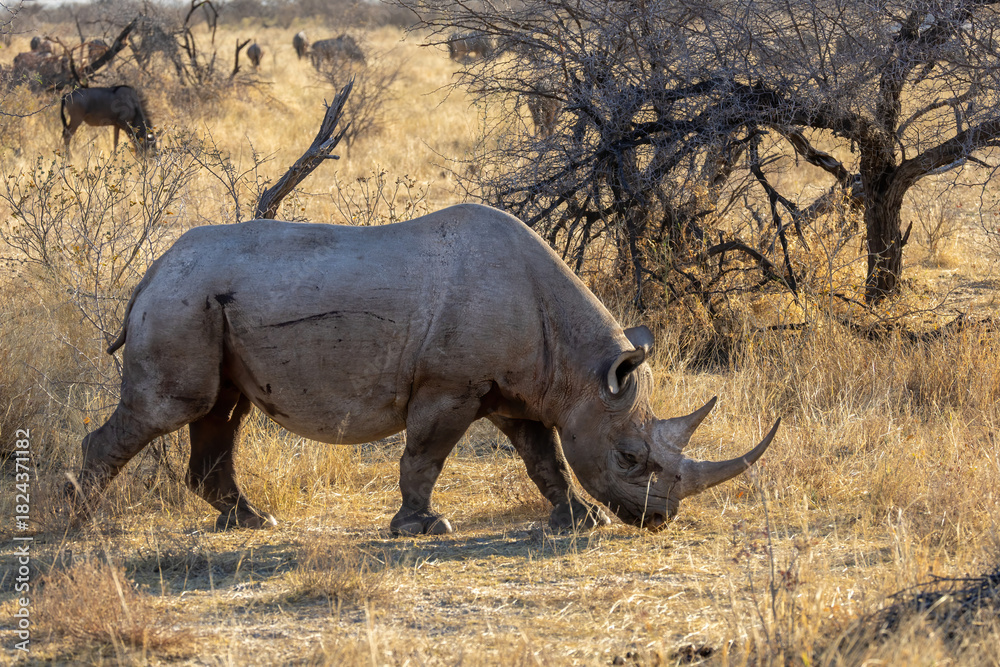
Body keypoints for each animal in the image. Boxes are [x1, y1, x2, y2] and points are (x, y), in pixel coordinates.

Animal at [72, 204, 777, 534]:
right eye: (630, 459)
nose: (660, 519)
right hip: (181, 302)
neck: (584, 370)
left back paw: (252, 522)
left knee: (221, 410)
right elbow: (425, 455)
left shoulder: (523, 390)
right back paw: (82, 524)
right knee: (175, 406)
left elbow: (544, 458)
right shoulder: (450, 386)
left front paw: (580, 520)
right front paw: (422, 527)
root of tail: (152, 271)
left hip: (200, 303)